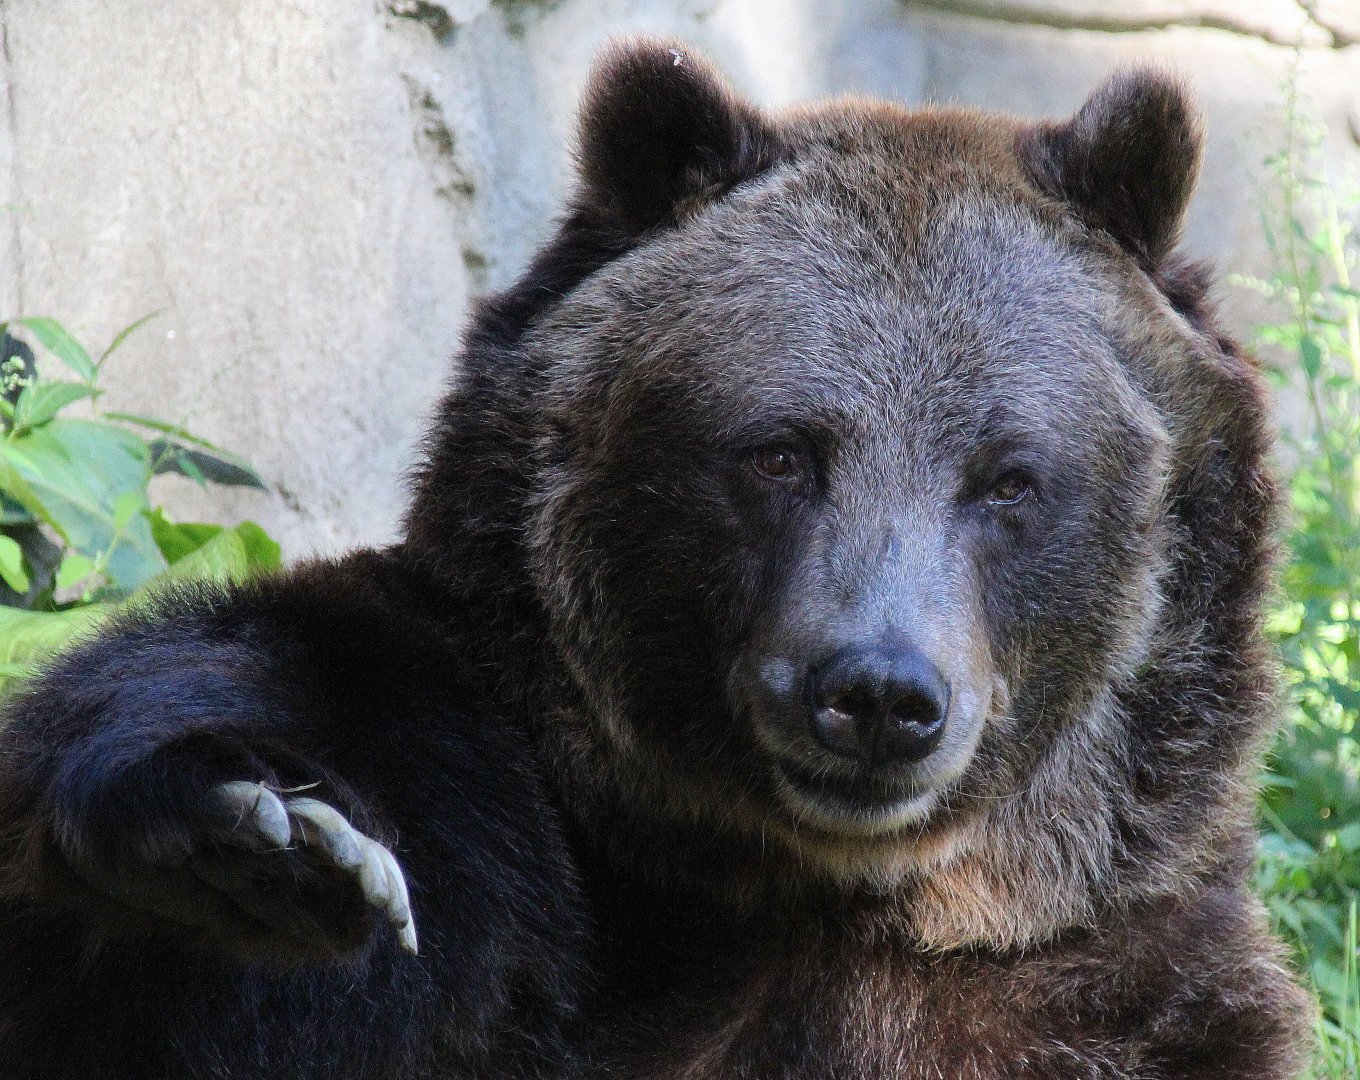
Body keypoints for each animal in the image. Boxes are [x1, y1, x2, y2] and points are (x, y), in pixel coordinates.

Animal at [0, 38, 1313, 1080]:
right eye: (779, 451)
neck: (825, 889)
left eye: (1008, 477)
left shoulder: (1118, 982)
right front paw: (256, 842)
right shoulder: (507, 830)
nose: (877, 694)